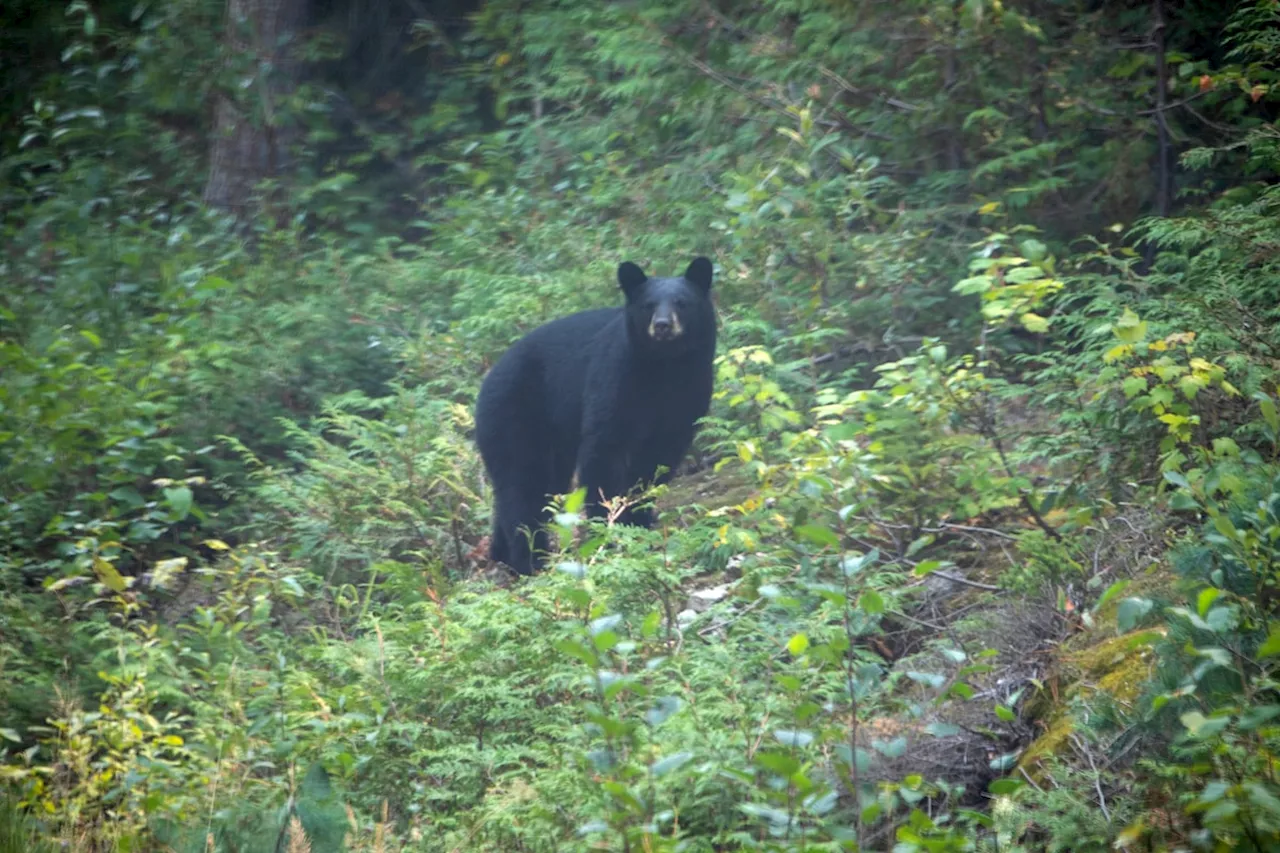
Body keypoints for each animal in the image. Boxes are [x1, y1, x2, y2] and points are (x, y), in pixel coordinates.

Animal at [473, 252, 716, 571]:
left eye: (682, 302)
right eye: (648, 305)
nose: (663, 325)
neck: (665, 367)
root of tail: (487, 379)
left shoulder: (690, 392)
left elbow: (657, 462)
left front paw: (638, 521)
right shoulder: (616, 376)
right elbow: (604, 452)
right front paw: (608, 530)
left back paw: (501, 553)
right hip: (513, 415)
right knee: (523, 485)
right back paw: (530, 559)